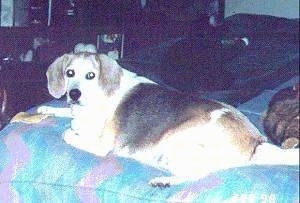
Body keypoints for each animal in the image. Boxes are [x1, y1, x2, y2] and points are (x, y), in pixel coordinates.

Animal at [38, 52, 298, 187]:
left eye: (91, 75)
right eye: (70, 73)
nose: (74, 94)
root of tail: (256, 141)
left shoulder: (101, 145)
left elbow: (68, 132)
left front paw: (70, 127)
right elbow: (66, 114)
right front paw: (47, 109)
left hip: (177, 141)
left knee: (199, 174)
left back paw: (163, 180)